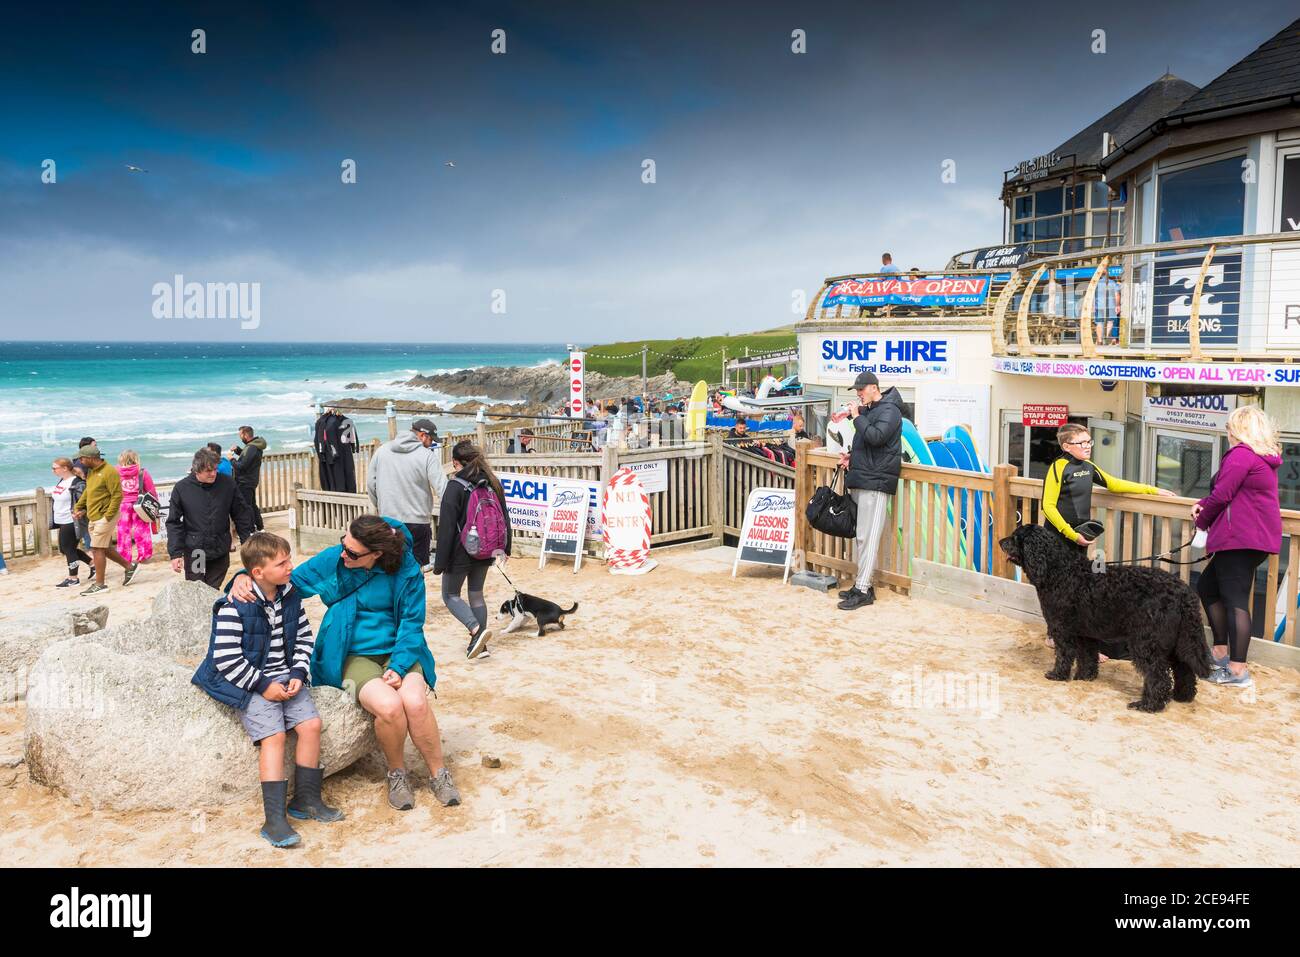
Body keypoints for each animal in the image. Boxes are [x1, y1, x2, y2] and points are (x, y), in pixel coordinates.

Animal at [998, 522, 1211, 712]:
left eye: (1016, 537)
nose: (1000, 541)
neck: (1059, 570)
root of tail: (1184, 591)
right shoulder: (1084, 633)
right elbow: (1087, 657)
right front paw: (1084, 677)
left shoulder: (1062, 629)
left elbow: (1064, 655)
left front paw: (1057, 674)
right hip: (1175, 641)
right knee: (1184, 670)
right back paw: (1182, 696)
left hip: (1146, 642)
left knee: (1158, 675)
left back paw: (1148, 705)